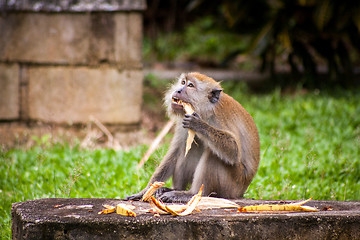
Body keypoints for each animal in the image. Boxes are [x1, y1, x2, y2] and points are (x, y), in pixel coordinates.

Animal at [126, 72, 258, 202]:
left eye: (190, 85)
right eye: (183, 82)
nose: (178, 90)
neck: (205, 111)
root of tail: (241, 192)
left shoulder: (219, 118)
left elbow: (234, 150)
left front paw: (198, 125)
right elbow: (176, 151)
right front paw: (145, 191)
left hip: (232, 185)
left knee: (213, 154)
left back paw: (190, 194)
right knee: (188, 149)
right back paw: (175, 189)